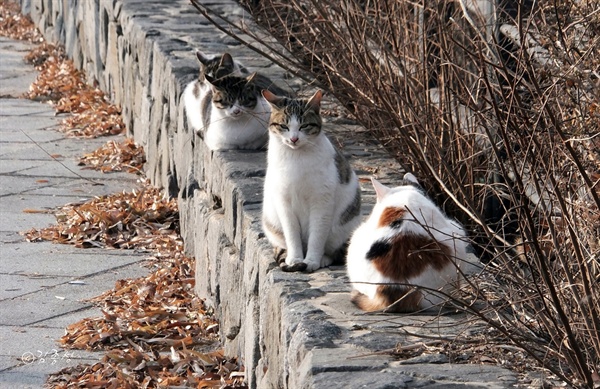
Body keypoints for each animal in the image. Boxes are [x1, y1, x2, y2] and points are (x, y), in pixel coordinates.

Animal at [262, 90, 360, 272]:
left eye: (304, 126)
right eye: (284, 126)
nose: (294, 139)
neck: (296, 158)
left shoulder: (322, 201)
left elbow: (317, 235)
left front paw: (311, 261)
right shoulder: (283, 201)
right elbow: (292, 233)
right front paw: (295, 259)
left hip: (341, 230)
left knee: (334, 250)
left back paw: (323, 259)